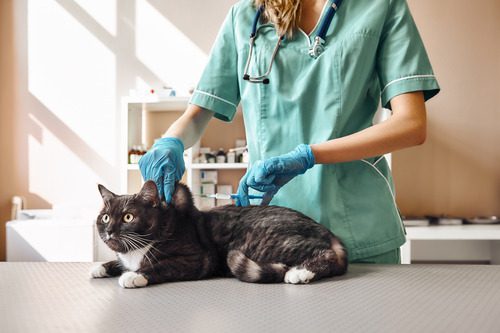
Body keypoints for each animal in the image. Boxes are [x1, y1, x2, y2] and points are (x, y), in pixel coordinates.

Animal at [91, 180, 348, 286]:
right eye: (105, 217)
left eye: (128, 217)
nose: (110, 231)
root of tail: (329, 233)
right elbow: (120, 262)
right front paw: (102, 266)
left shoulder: (195, 259)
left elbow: (161, 266)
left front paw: (134, 276)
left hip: (263, 240)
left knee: (326, 255)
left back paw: (300, 272)